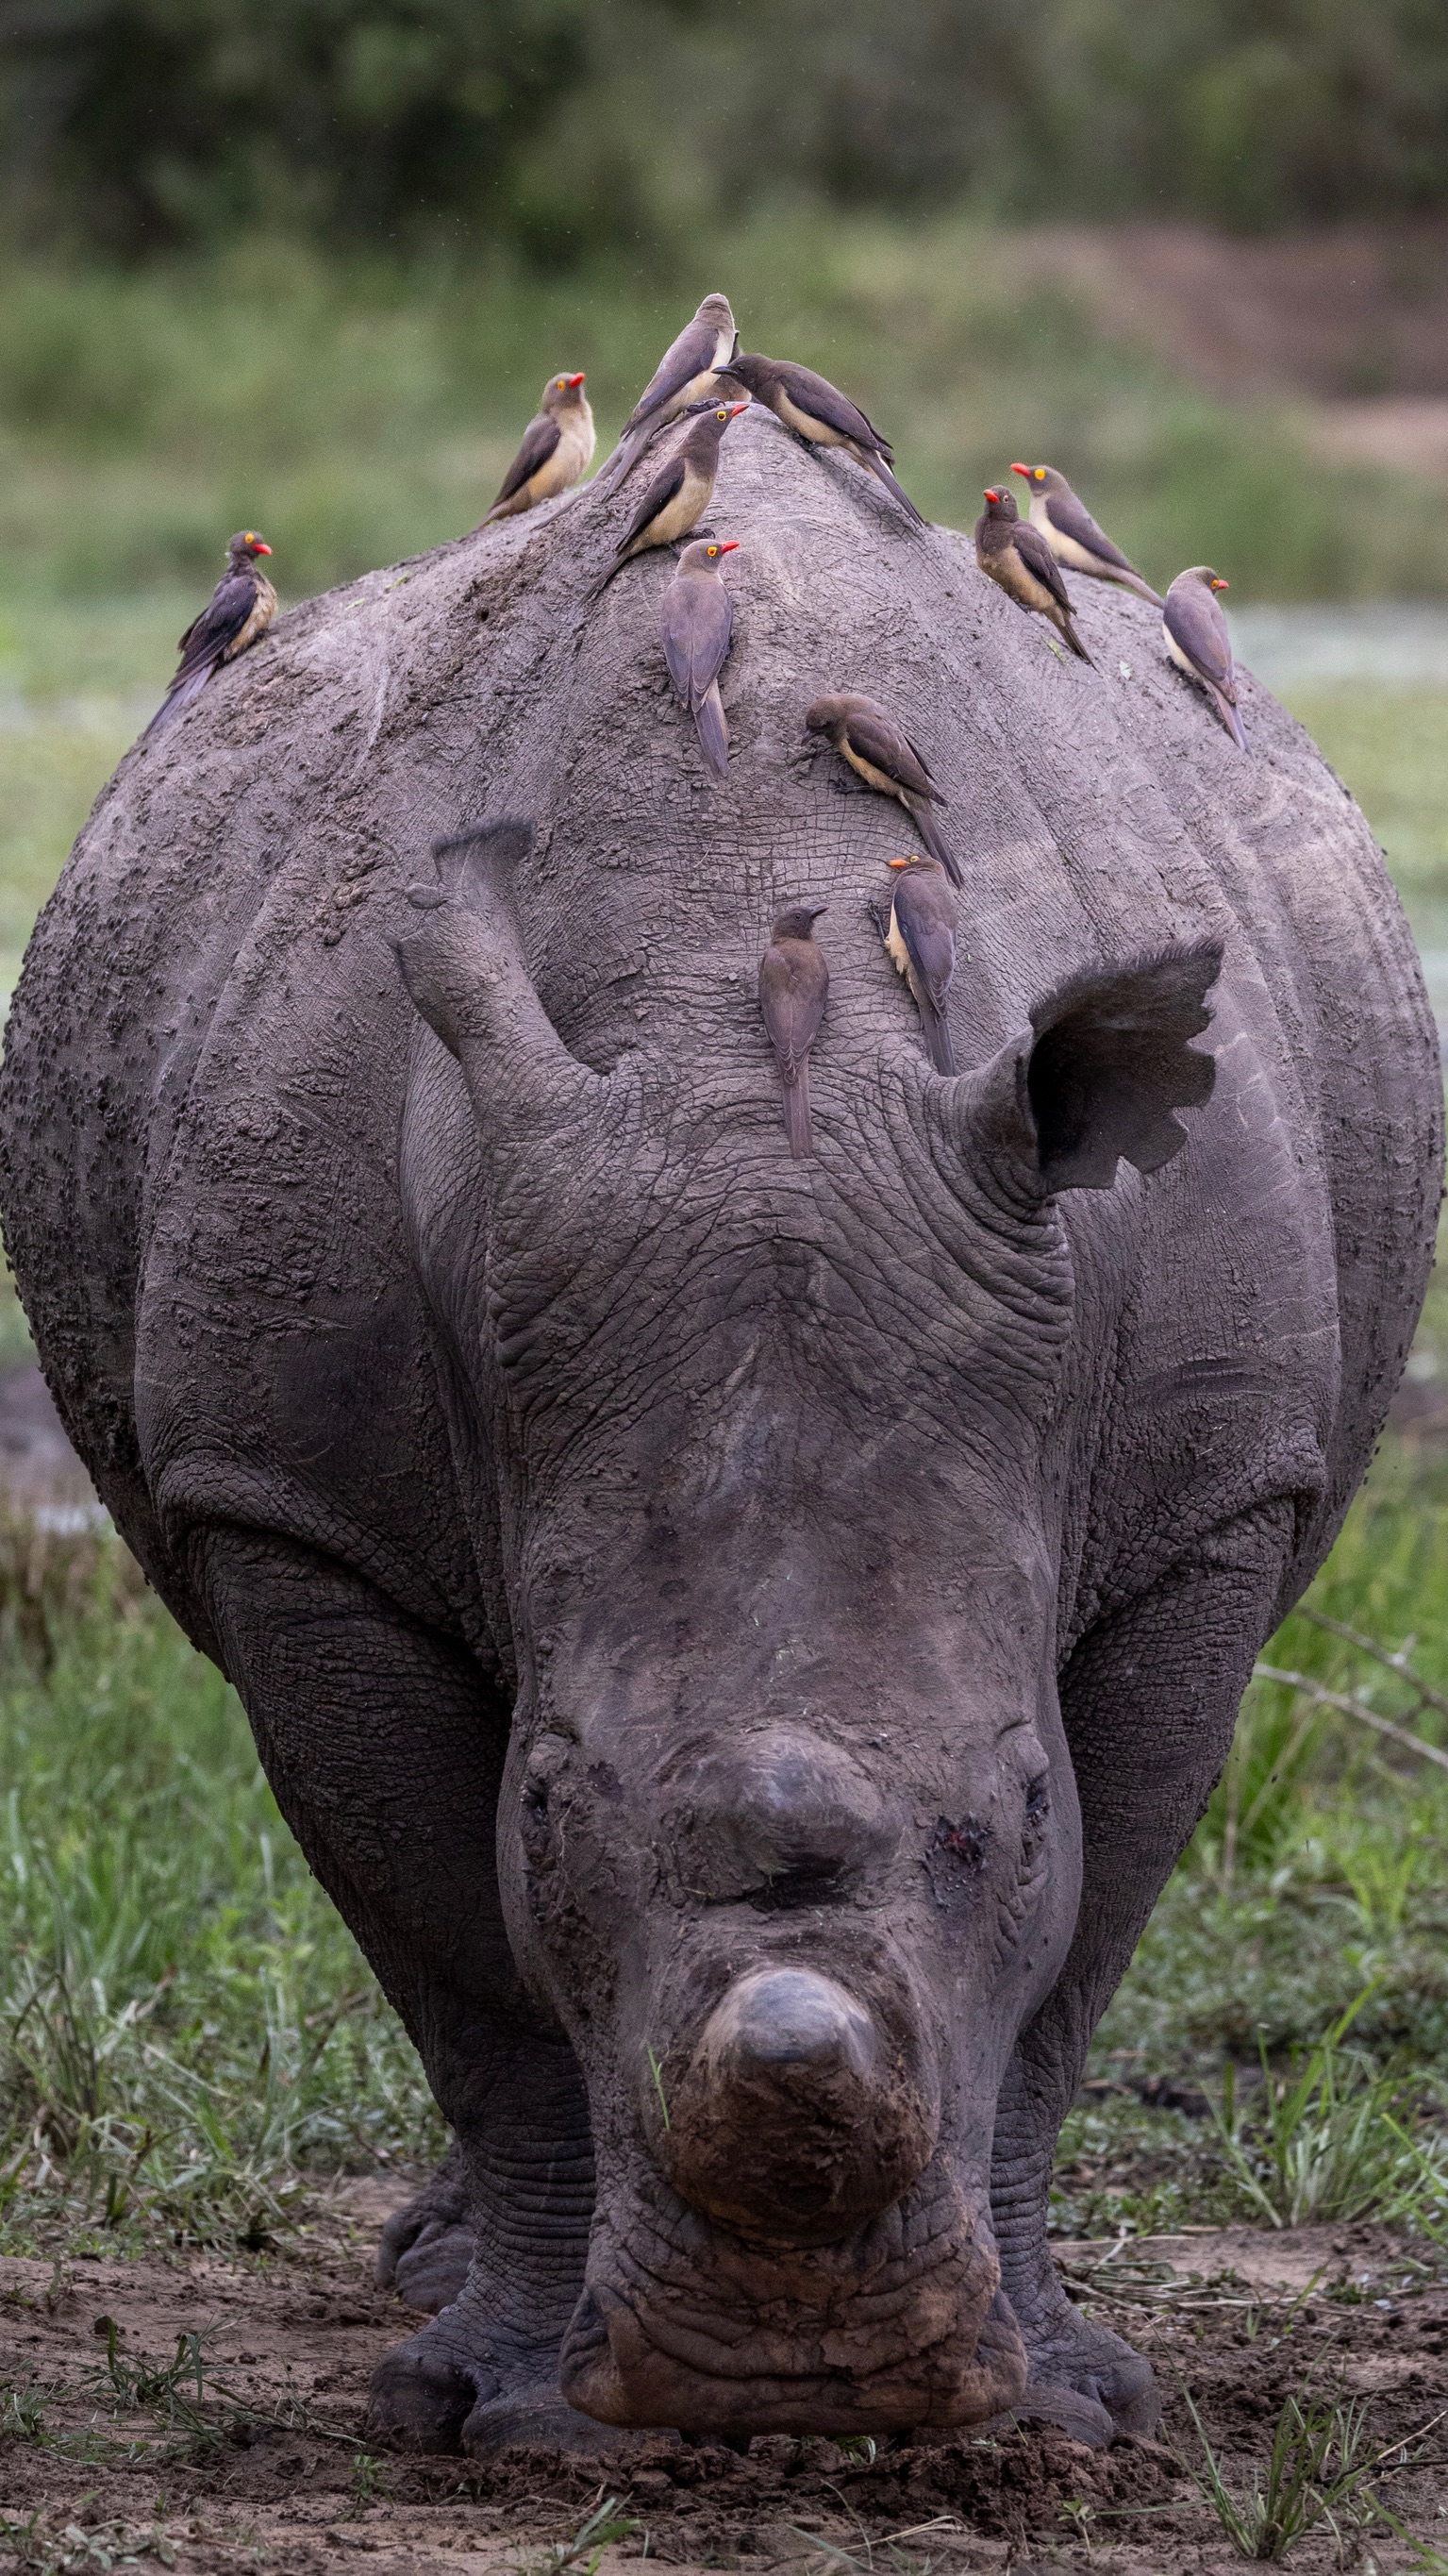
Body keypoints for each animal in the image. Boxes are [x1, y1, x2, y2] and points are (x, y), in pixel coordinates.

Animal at [1, 405, 1438, 2460]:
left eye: (1012, 1805)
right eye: (552, 1800)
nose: (799, 2386)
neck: (760, 1033)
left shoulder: (1212, 1496)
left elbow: (1076, 1957)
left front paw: (1068, 2407)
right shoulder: (289, 1505)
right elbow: (466, 1966)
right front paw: (492, 2410)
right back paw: (433, 2286)